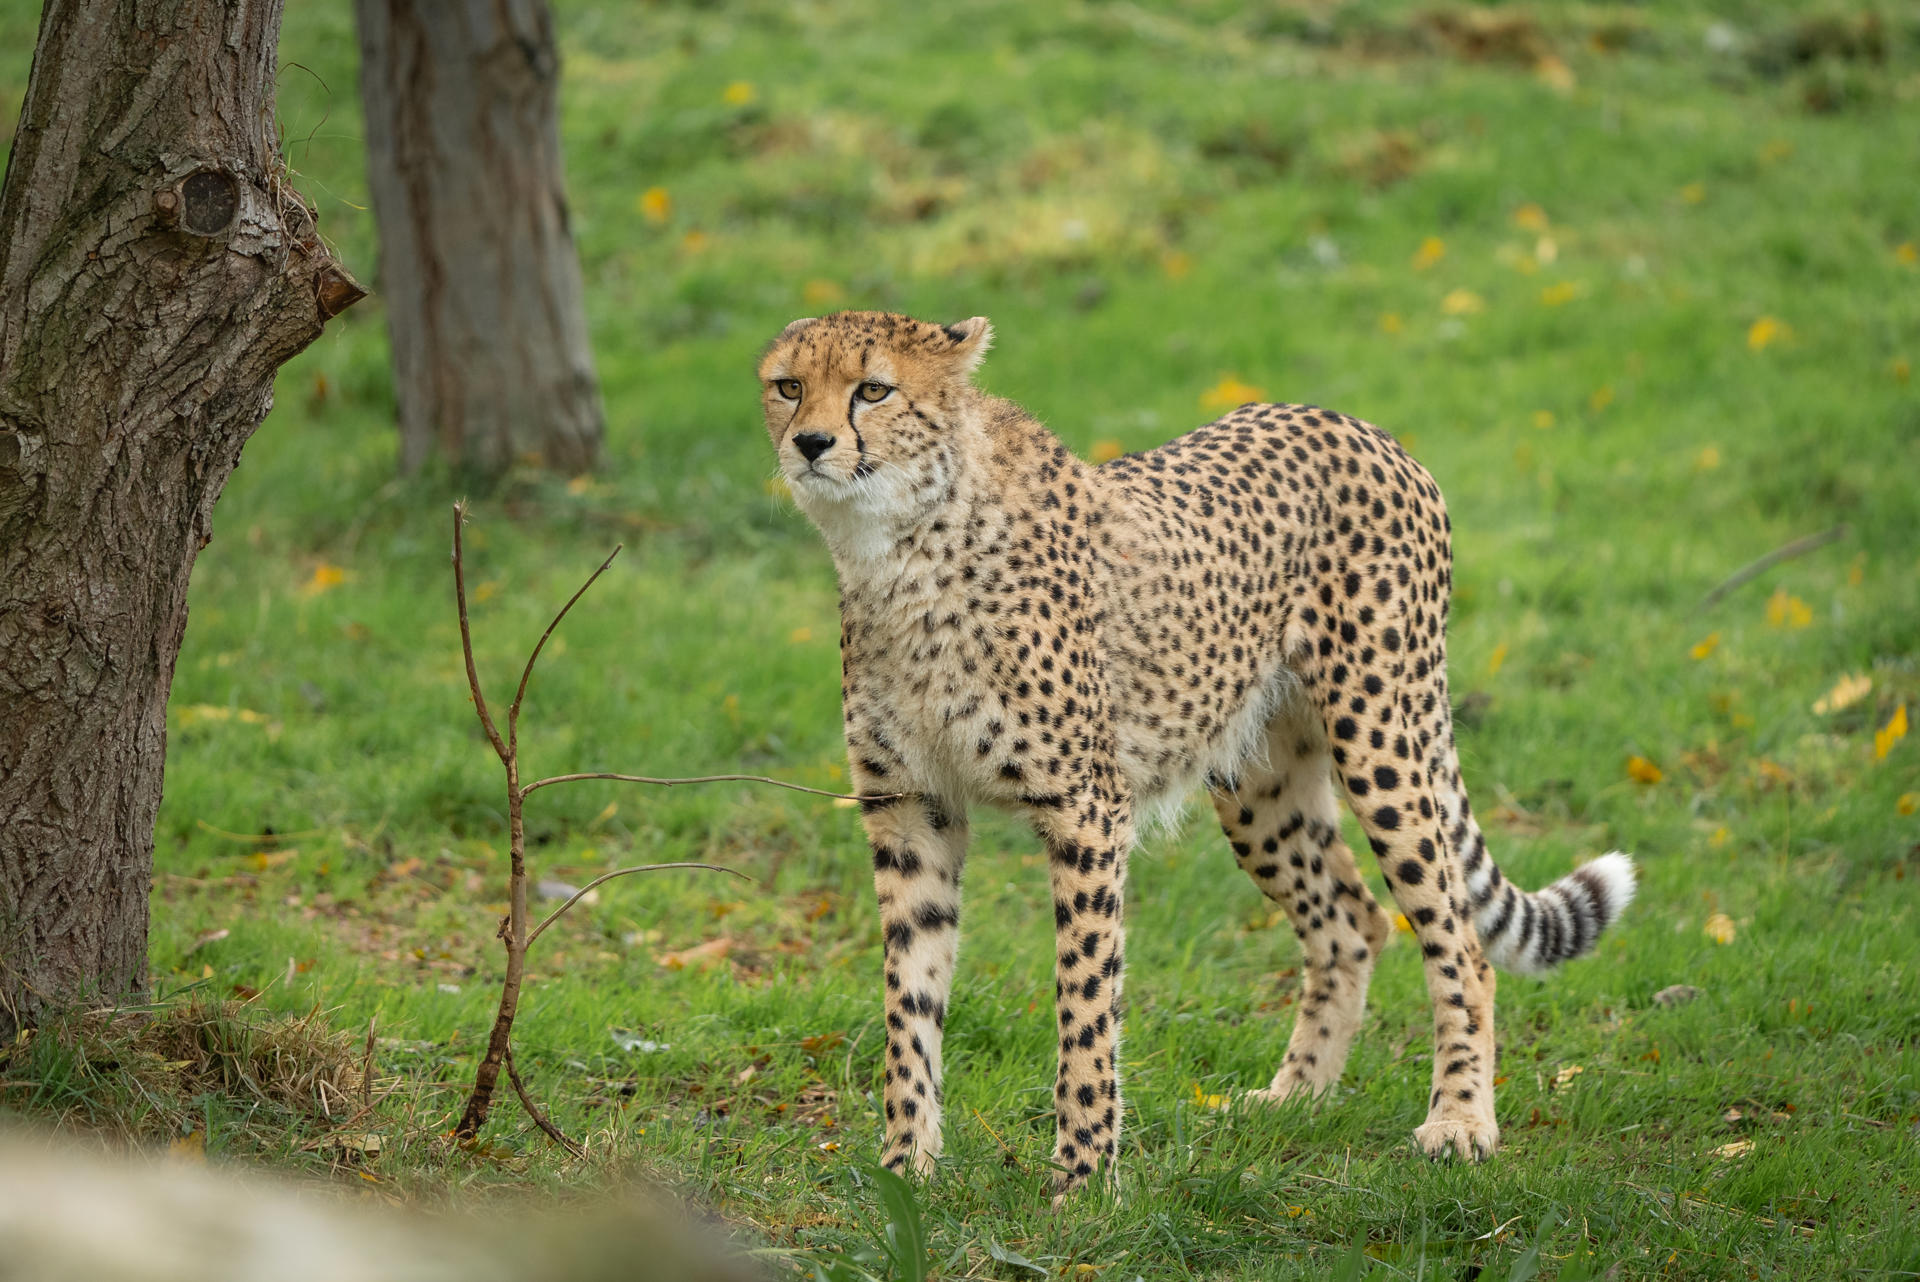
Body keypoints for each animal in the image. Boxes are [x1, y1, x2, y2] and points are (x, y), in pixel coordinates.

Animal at [756, 310, 1636, 1195]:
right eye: (788, 385)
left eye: (874, 389)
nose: (812, 443)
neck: (899, 550)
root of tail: (1358, 426)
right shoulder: (910, 809)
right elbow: (911, 996)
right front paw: (906, 1168)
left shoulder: (1086, 810)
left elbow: (1085, 1000)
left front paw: (1085, 1178)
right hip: (1256, 783)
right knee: (1351, 919)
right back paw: (1293, 1097)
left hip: (1383, 733)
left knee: (1457, 938)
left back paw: (1459, 1121)